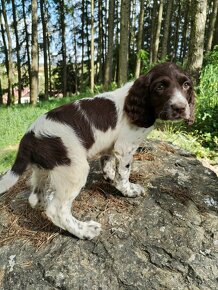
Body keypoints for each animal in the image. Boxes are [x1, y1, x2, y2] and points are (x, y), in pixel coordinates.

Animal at [0, 62, 195, 239]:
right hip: (74, 168)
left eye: (186, 85)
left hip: (45, 169)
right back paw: (85, 230)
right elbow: (124, 173)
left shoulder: (111, 146)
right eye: (160, 87)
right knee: (56, 210)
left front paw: (110, 177)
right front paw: (128, 190)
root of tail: (29, 136)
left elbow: (108, 162)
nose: (180, 108)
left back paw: (45, 201)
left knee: (36, 198)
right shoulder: (125, 146)